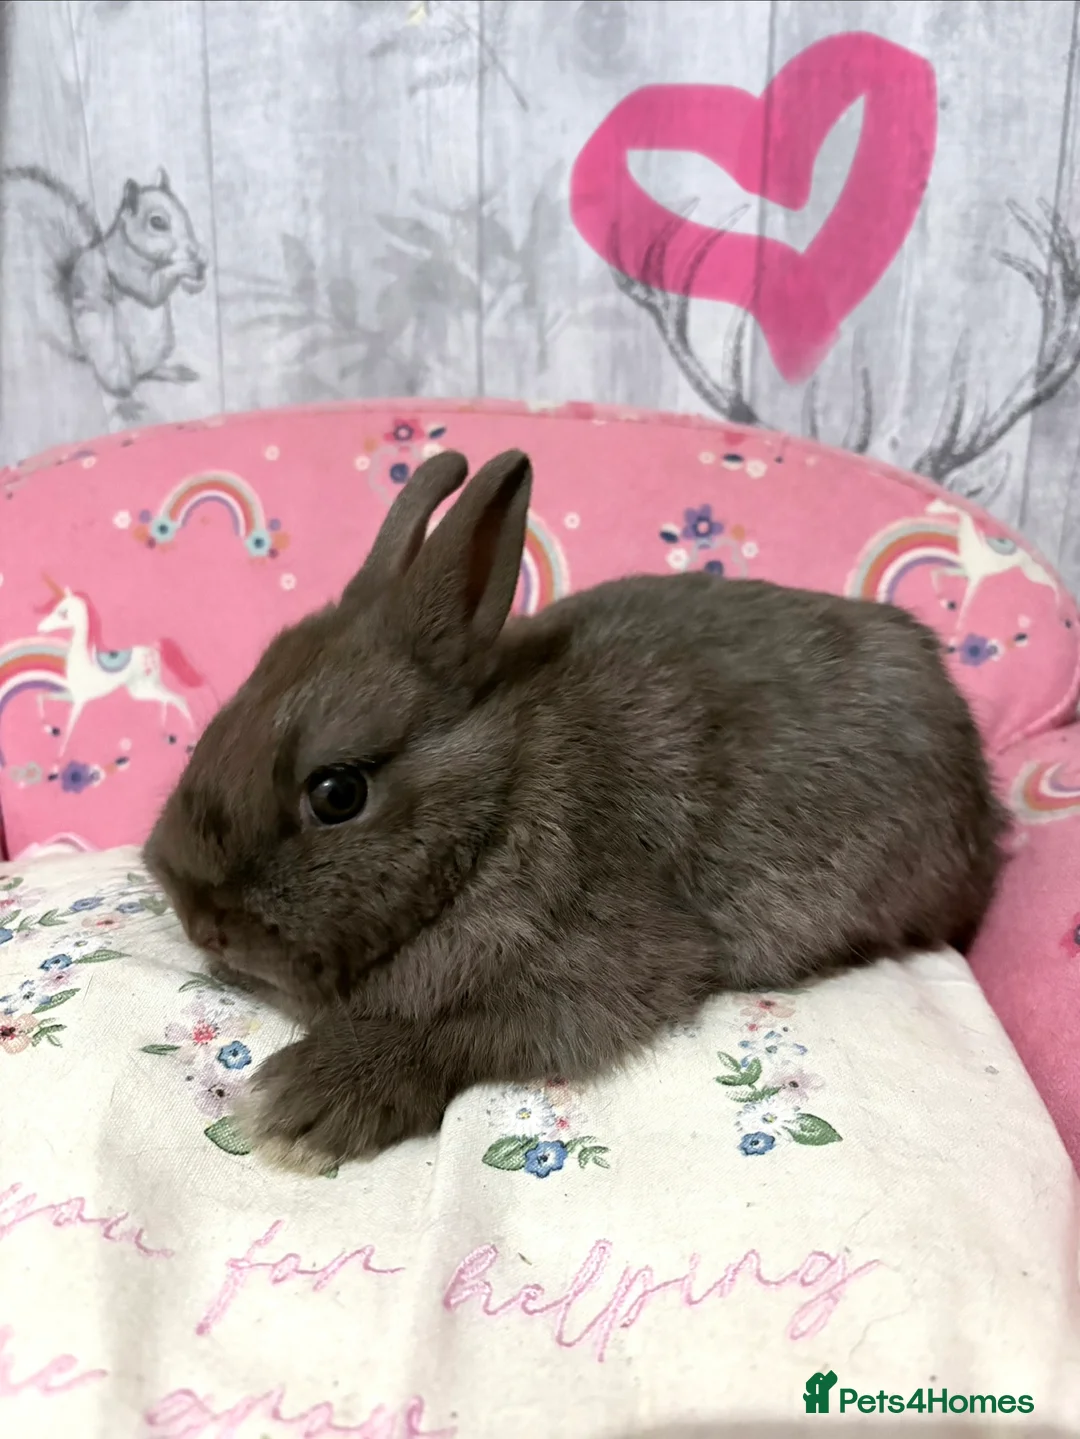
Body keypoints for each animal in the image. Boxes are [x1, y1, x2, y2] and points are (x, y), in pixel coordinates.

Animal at [144, 447, 1008, 1173]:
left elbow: (461, 1032)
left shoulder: (601, 961)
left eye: (337, 793)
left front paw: (301, 1107)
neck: (494, 804)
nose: (202, 923)